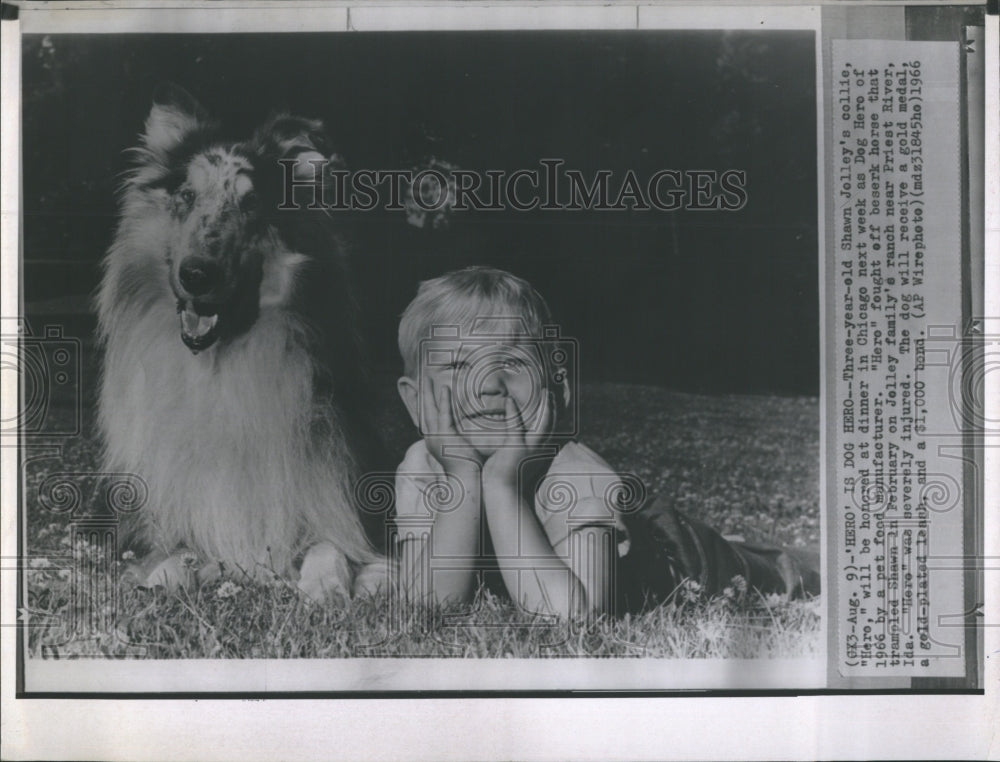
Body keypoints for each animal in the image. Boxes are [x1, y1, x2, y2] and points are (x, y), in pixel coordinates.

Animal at [96, 87, 386, 600]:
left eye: (251, 205)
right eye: (186, 196)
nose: (197, 274)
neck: (219, 365)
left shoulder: (335, 504)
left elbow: (331, 546)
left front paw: (326, 586)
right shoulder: (154, 521)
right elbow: (173, 556)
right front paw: (164, 581)